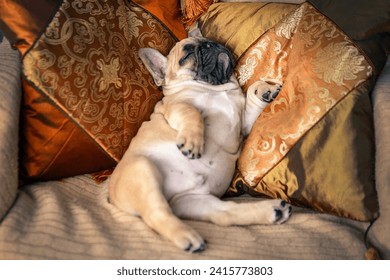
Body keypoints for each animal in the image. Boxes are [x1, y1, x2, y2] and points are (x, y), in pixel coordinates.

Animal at [108, 30, 290, 252]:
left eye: (212, 41)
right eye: (186, 55)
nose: (210, 45)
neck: (215, 88)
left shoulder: (244, 125)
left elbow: (252, 94)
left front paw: (264, 89)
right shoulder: (177, 107)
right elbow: (193, 112)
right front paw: (192, 143)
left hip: (195, 201)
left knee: (224, 214)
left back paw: (272, 210)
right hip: (142, 169)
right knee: (156, 213)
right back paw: (188, 237)